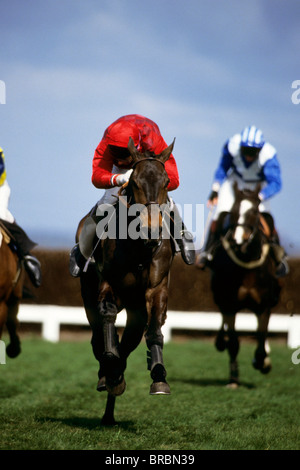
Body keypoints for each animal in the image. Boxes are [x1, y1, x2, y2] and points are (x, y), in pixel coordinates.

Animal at [77, 137, 176, 426]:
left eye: (166, 181)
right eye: (134, 182)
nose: (152, 231)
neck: (138, 248)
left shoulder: (156, 289)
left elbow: (153, 330)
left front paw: (159, 375)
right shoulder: (108, 285)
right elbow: (108, 317)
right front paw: (109, 368)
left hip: (135, 311)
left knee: (130, 341)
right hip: (88, 297)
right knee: (97, 337)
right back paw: (107, 377)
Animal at [209, 183, 282, 386]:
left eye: (254, 212)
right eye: (234, 211)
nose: (238, 239)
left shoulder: (264, 306)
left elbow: (261, 338)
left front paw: (262, 362)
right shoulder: (229, 306)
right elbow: (234, 342)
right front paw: (234, 378)